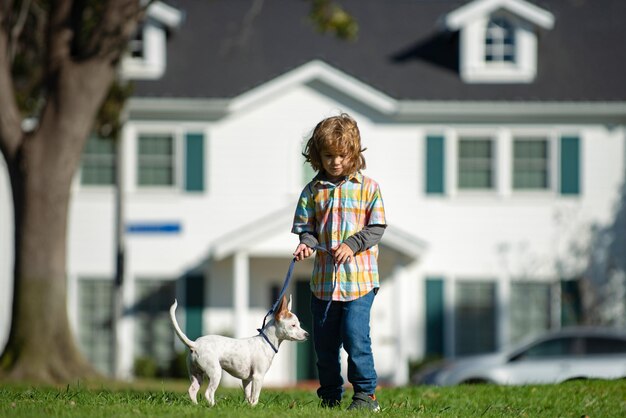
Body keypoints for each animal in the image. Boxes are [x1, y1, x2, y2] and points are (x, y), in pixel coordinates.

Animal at [169, 294, 308, 404]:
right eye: (293, 325)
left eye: (299, 324)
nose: (307, 334)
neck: (265, 342)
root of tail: (195, 344)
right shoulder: (258, 377)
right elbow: (255, 397)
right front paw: (254, 407)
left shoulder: (247, 380)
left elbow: (248, 396)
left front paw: (248, 407)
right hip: (215, 372)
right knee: (209, 393)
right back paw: (214, 407)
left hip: (196, 375)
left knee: (192, 391)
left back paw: (196, 406)